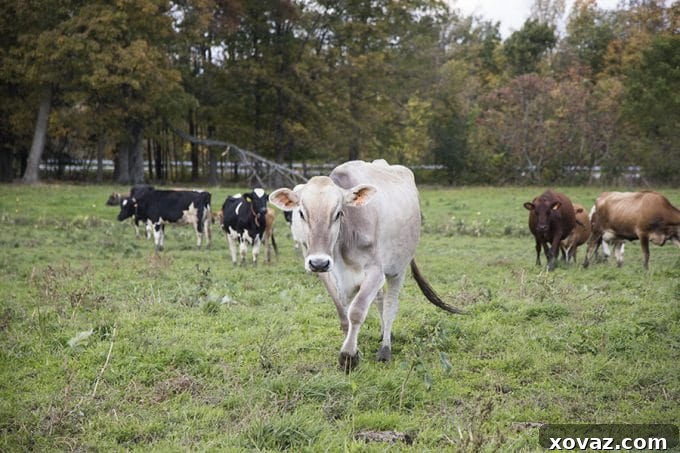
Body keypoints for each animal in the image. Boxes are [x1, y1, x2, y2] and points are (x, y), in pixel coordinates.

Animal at [269, 159, 463, 372]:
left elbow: (356, 311)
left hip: (398, 268)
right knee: (379, 299)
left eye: (338, 213)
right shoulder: (329, 276)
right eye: (302, 213)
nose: (319, 262)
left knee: (390, 306)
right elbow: (343, 314)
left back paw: (385, 348)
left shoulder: (376, 271)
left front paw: (348, 356)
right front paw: (354, 350)